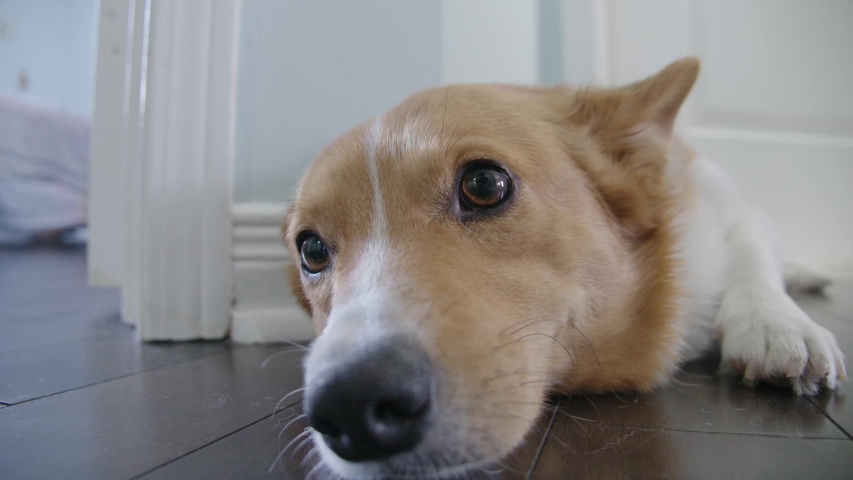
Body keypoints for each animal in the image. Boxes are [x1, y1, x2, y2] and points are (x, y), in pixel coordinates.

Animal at [282, 58, 844, 478]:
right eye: (312, 251)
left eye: (484, 184)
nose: (349, 406)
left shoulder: (726, 207)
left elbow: (752, 255)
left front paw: (777, 328)